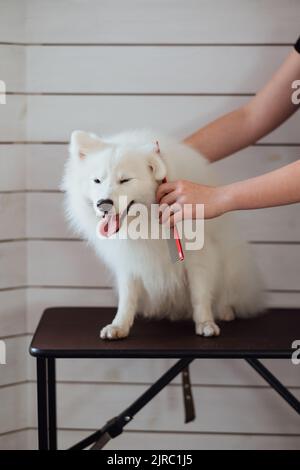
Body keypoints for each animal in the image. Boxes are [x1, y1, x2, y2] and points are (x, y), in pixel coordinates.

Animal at [62, 130, 264, 340]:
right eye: (97, 181)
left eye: (125, 180)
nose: (103, 204)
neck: (147, 222)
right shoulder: (129, 260)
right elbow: (127, 298)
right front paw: (119, 326)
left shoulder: (198, 256)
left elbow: (200, 294)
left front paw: (205, 323)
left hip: (232, 267)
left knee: (228, 296)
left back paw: (226, 311)